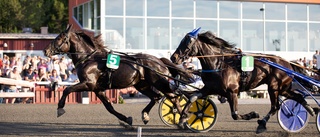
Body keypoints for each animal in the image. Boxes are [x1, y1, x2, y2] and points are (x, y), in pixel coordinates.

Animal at [43, 24, 191, 126]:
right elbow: (109, 107)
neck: (89, 58)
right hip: (141, 85)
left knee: (173, 97)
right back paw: (146, 115)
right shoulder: (98, 89)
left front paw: (60, 108)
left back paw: (183, 119)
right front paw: (127, 119)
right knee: (156, 97)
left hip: (160, 82)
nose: (45, 50)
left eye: (60, 38)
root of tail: (159, 60)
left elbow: (67, 89)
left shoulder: (88, 84)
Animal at [170, 27, 316, 134]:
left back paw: (262, 124)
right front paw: (182, 119)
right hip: (283, 88)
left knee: (275, 106)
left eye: (188, 41)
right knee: (298, 97)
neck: (219, 64)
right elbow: (192, 97)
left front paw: (253, 114)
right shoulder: (209, 88)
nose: (173, 57)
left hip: (274, 87)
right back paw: (311, 110)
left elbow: (235, 114)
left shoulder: (232, 91)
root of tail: (288, 63)